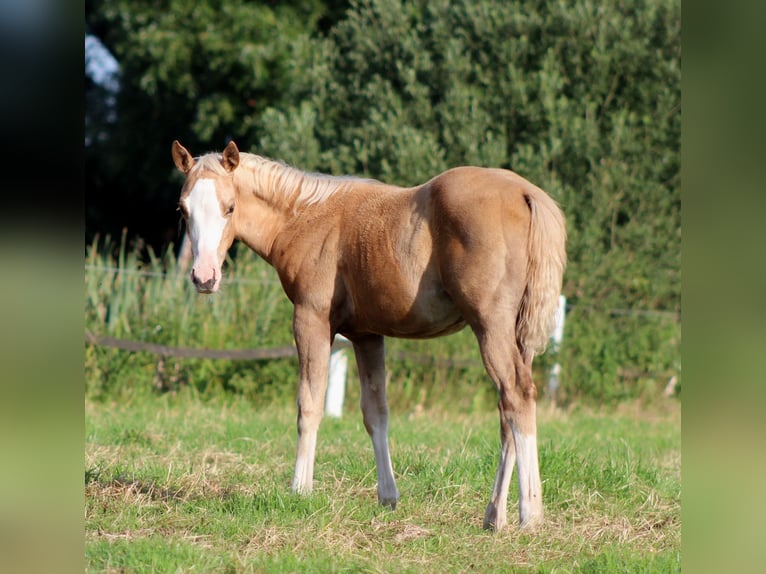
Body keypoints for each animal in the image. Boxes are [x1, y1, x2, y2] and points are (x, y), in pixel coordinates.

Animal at [171, 139, 566, 531]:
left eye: (230, 207)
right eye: (184, 210)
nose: (204, 277)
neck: (306, 217)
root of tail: (526, 193)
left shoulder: (311, 319)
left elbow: (309, 404)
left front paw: (300, 490)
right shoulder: (366, 335)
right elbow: (376, 413)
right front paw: (388, 497)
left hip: (490, 324)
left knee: (517, 395)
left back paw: (530, 514)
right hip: (517, 335)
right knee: (507, 411)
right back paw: (494, 515)